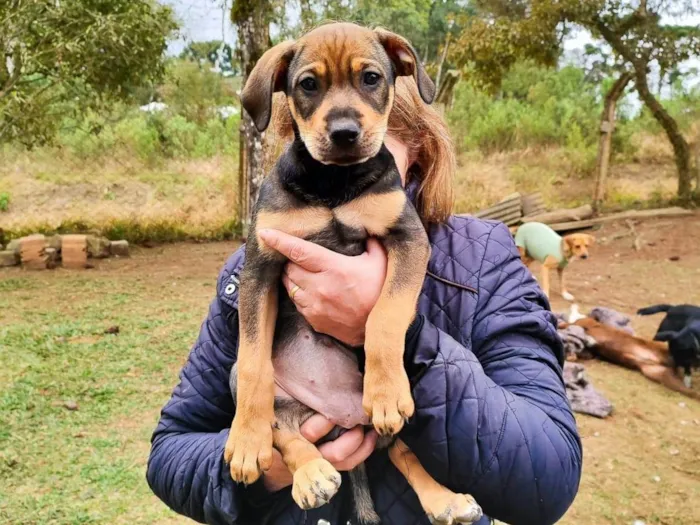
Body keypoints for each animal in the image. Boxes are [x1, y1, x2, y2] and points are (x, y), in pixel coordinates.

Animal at [223, 22, 482, 524]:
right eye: (308, 84)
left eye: (371, 78)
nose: (344, 133)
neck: (333, 185)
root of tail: (342, 417)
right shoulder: (259, 266)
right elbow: (253, 363)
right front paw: (244, 440)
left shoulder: (408, 239)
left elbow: (384, 317)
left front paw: (384, 392)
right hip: (276, 403)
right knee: (287, 435)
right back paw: (310, 475)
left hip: (388, 427)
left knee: (401, 449)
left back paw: (444, 499)